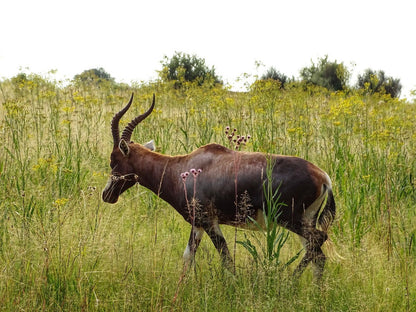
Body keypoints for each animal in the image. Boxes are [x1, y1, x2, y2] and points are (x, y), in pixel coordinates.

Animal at [102, 92, 336, 278]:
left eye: (113, 160)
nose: (106, 195)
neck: (183, 168)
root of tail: (324, 177)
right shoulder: (198, 224)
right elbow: (188, 258)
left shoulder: (210, 222)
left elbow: (226, 259)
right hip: (305, 220)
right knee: (318, 256)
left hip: (290, 219)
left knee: (319, 240)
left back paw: (290, 282)